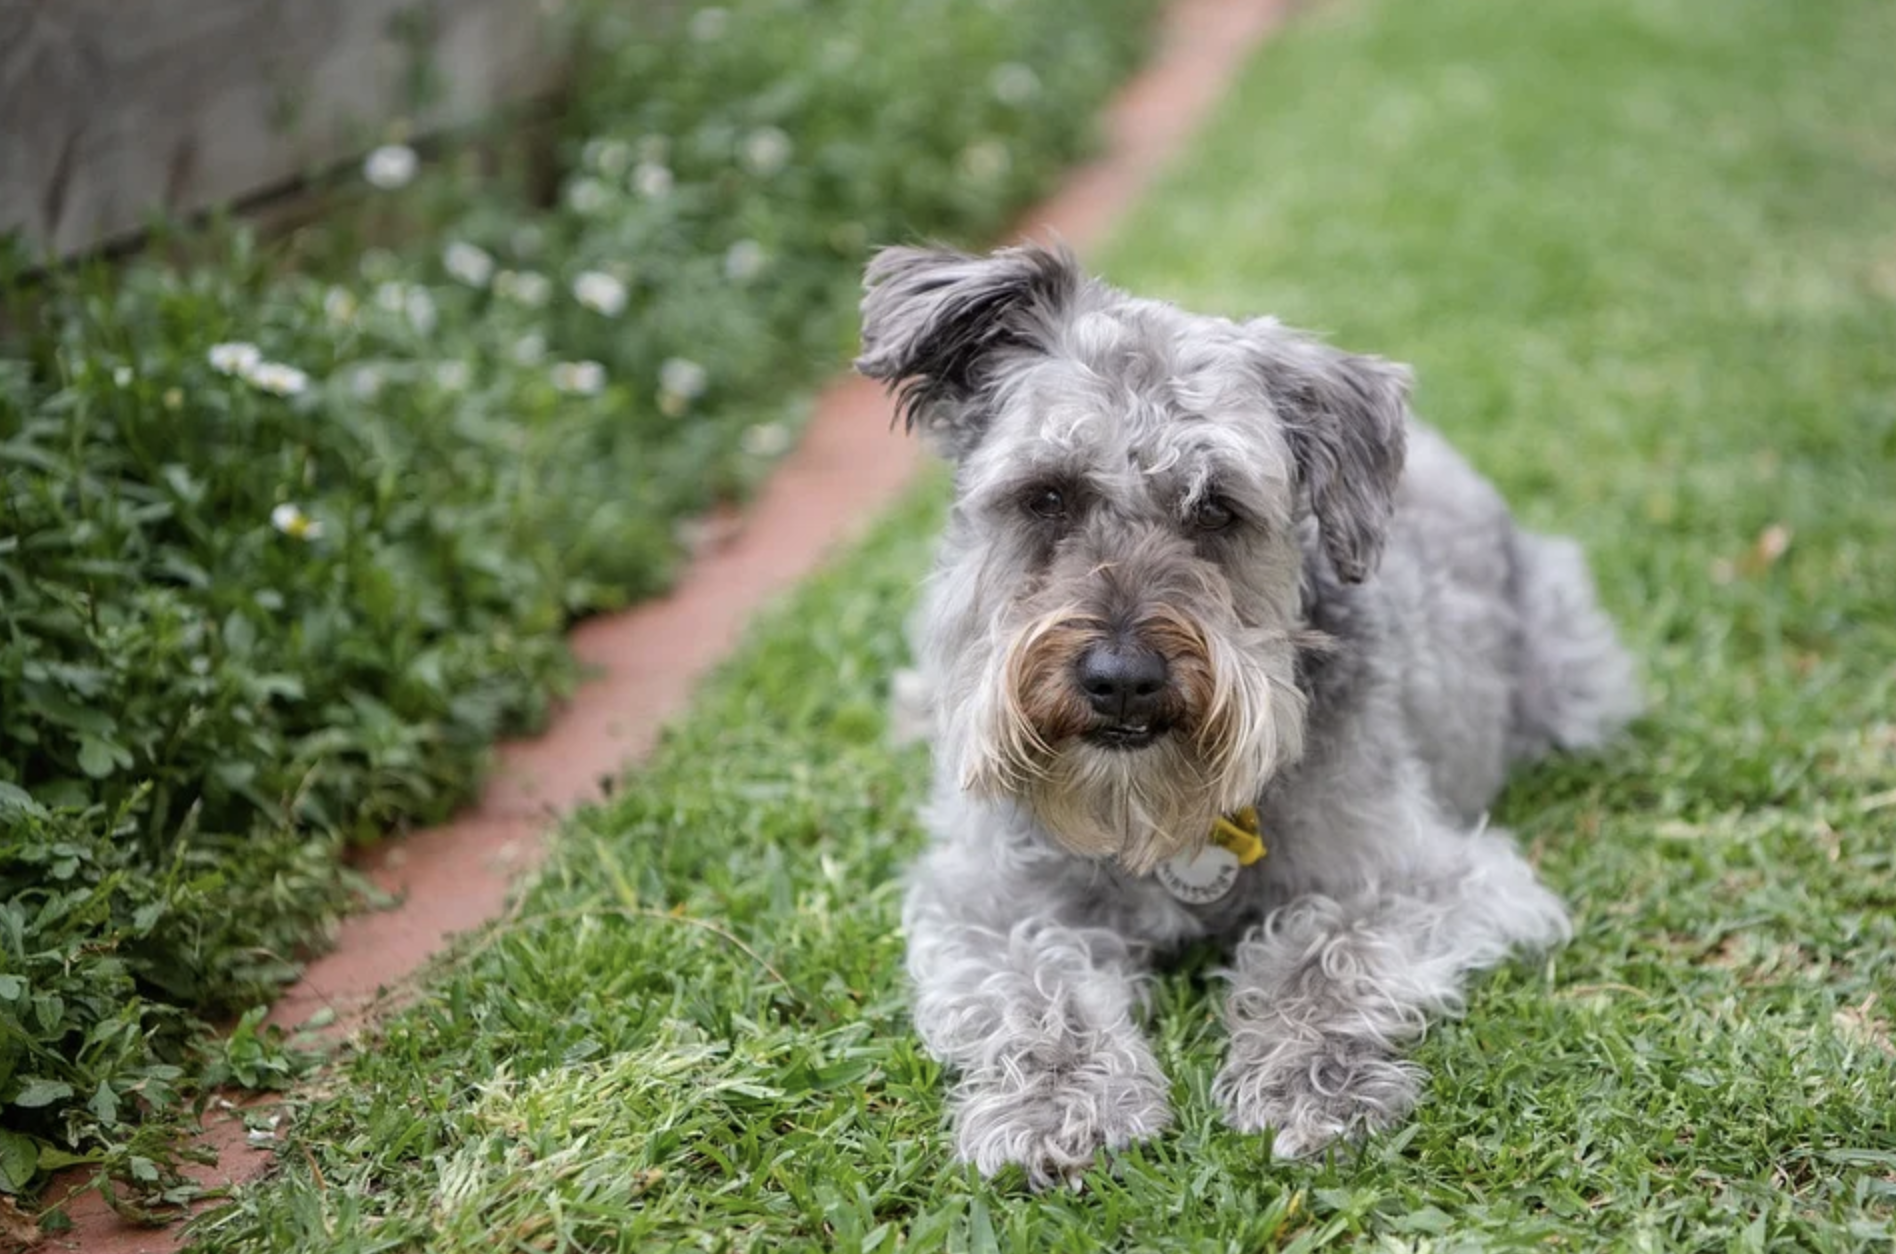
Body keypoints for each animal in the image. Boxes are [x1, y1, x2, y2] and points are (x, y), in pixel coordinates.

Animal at [860, 241, 1645, 1183]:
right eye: (1047, 495)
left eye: (1216, 508)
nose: (1121, 678)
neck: (1159, 822)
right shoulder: (985, 901)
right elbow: (1035, 984)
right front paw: (1059, 1103)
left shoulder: (1426, 875)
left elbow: (1319, 949)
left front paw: (1311, 1082)